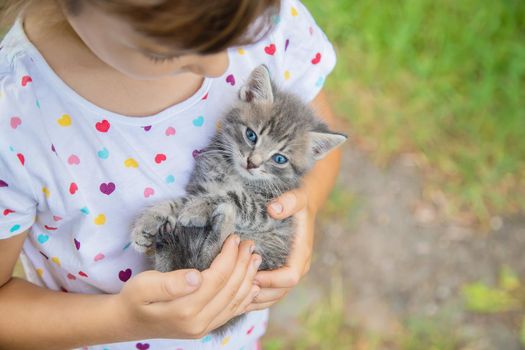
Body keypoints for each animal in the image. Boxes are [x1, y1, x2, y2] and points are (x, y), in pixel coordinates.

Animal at [129, 64, 346, 334]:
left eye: (279, 159)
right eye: (251, 135)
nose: (252, 163)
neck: (234, 172)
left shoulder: (269, 210)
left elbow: (234, 197)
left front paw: (198, 208)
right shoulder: (200, 184)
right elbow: (179, 202)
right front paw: (148, 223)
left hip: (258, 251)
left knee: (208, 259)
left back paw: (221, 222)